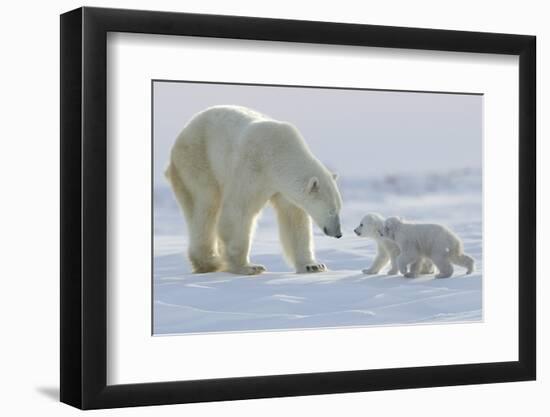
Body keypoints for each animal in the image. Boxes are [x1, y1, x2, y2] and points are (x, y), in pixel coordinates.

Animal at [166, 104, 342, 274]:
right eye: (331, 211)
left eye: (339, 209)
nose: (338, 233)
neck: (279, 153)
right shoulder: (253, 166)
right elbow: (238, 210)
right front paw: (248, 267)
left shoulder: (282, 187)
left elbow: (294, 218)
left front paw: (313, 265)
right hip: (197, 160)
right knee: (205, 204)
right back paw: (210, 262)